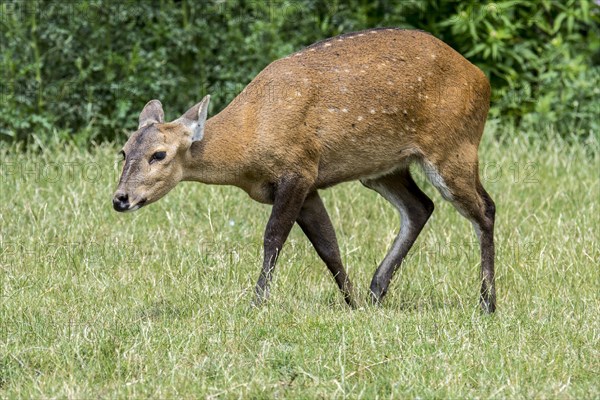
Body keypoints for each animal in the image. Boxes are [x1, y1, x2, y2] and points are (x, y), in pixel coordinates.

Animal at [113, 29, 496, 314]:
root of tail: (483, 80)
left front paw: (256, 304)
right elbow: (328, 245)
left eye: (159, 154)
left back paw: (487, 303)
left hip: (453, 147)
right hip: (383, 168)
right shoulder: (308, 183)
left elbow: (274, 237)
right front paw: (352, 303)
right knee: (420, 207)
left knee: (485, 208)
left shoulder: (298, 169)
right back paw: (376, 291)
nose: (120, 198)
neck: (249, 139)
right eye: (124, 150)